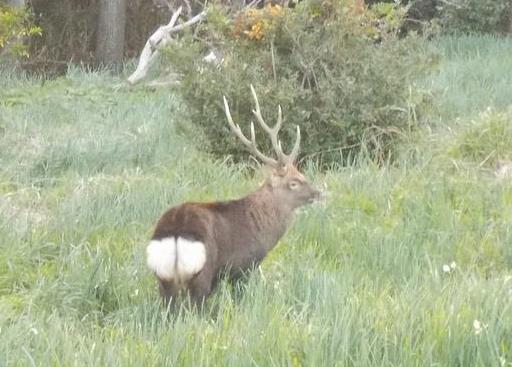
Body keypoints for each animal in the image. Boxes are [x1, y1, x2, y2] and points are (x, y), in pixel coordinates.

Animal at [146, 85, 320, 304]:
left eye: (302, 173)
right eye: (294, 183)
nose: (318, 193)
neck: (260, 226)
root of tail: (175, 232)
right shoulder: (243, 266)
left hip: (163, 277)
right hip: (202, 272)